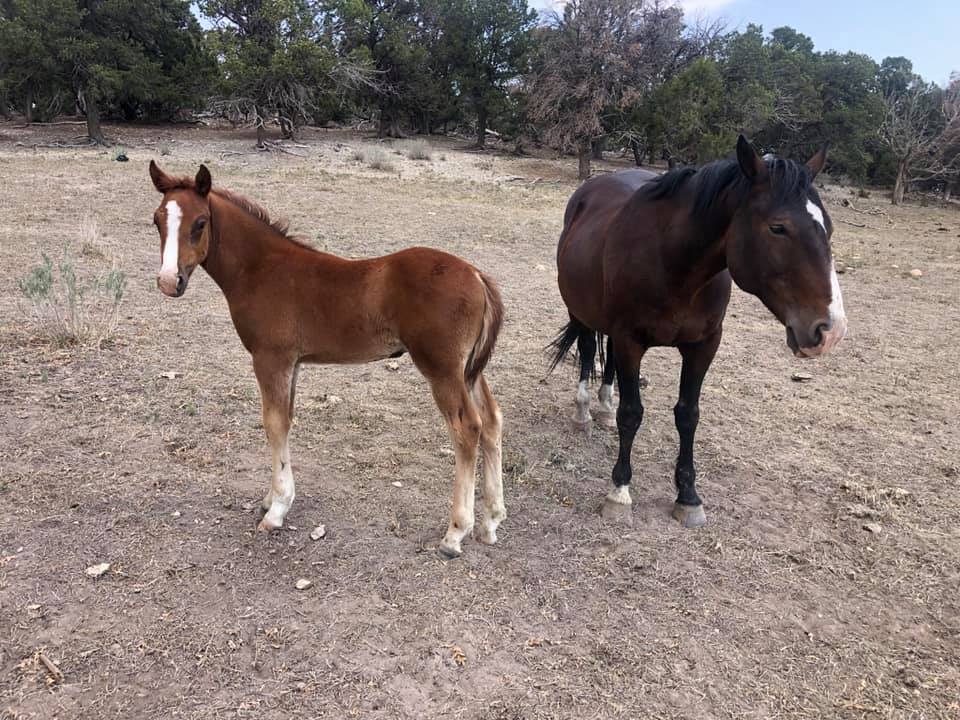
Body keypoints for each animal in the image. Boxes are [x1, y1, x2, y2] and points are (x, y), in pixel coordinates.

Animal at [148, 161, 505, 558]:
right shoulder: (293, 363)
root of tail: (476, 275)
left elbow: (274, 423)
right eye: (156, 220)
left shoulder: (270, 359)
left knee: (467, 429)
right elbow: (286, 420)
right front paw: (272, 498)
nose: (169, 281)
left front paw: (276, 510)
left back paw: (456, 532)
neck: (261, 269)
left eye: (200, 223)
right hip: (468, 371)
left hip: (442, 370)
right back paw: (491, 521)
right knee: (492, 421)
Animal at [550, 136, 847, 527]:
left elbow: (688, 415)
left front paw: (688, 496)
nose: (830, 330)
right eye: (778, 227)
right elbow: (632, 413)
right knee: (586, 351)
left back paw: (603, 408)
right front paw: (620, 491)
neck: (674, 264)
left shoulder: (704, 344)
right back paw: (584, 411)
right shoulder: (630, 340)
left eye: (828, 227)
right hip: (582, 312)